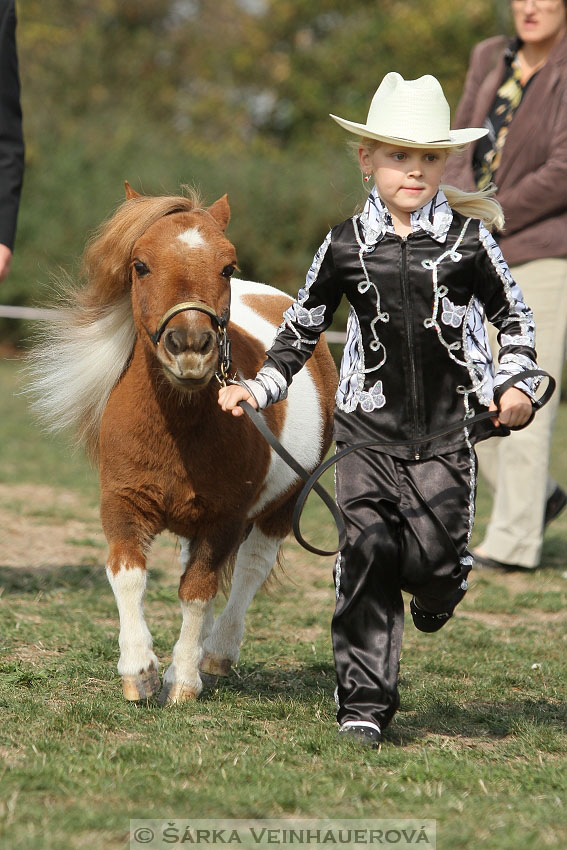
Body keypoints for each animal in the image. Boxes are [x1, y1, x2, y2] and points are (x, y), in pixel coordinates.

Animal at [30, 186, 338, 704]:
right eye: (140, 265)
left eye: (228, 266)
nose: (190, 347)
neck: (178, 427)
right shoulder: (123, 504)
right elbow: (129, 575)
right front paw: (140, 672)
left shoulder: (224, 519)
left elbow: (198, 590)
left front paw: (183, 682)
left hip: (283, 505)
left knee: (249, 569)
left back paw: (214, 655)